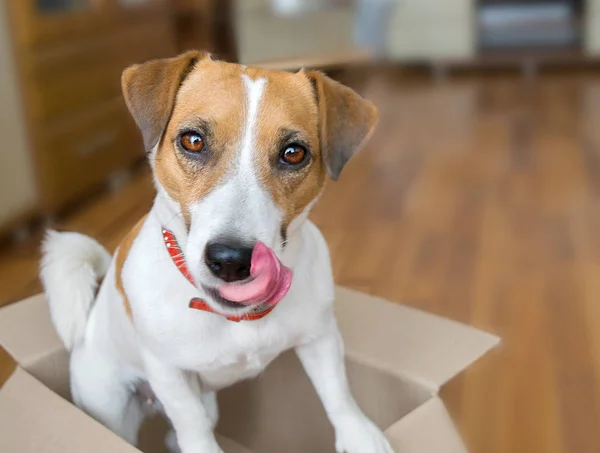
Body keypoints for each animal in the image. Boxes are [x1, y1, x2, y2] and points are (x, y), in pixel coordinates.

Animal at [38, 50, 394, 452]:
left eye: (293, 153)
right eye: (193, 141)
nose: (230, 261)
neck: (236, 318)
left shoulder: (320, 336)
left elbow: (337, 390)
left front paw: (359, 433)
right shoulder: (167, 372)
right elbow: (190, 422)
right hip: (110, 404)